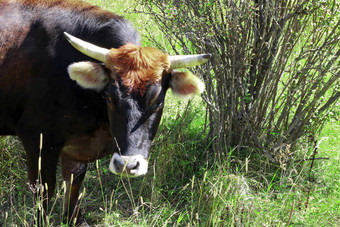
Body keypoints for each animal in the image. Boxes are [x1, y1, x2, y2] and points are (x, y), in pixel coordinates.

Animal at [0, 0, 211, 225]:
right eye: (109, 97)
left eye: (157, 102)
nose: (127, 165)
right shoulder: (37, 139)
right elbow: (44, 191)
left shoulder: (75, 146)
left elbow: (75, 180)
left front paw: (74, 219)